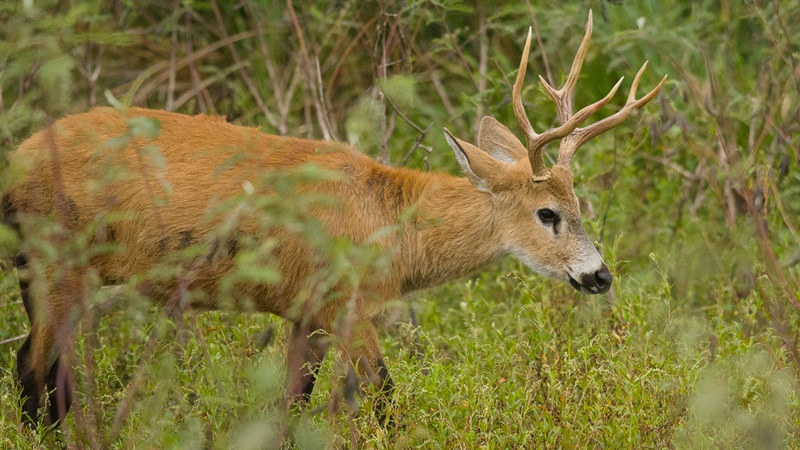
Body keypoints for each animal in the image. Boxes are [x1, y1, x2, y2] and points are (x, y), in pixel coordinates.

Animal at [1, 10, 664, 428]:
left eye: (581, 205)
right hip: (59, 262)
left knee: (42, 373)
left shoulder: (305, 311)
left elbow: (292, 405)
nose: (601, 275)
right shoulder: (344, 301)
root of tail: (17, 164)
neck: (389, 223)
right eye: (547, 212)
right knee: (32, 371)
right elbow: (385, 398)